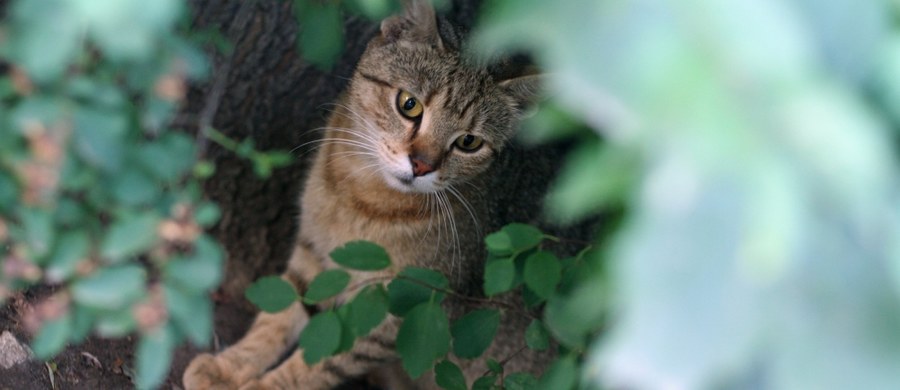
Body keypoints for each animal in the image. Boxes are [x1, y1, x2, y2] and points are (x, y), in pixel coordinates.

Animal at [181, 1, 568, 388]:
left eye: (469, 142)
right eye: (409, 104)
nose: (421, 165)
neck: (360, 197)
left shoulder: (394, 307)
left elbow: (320, 363)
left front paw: (264, 384)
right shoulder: (314, 252)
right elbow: (278, 316)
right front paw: (228, 367)